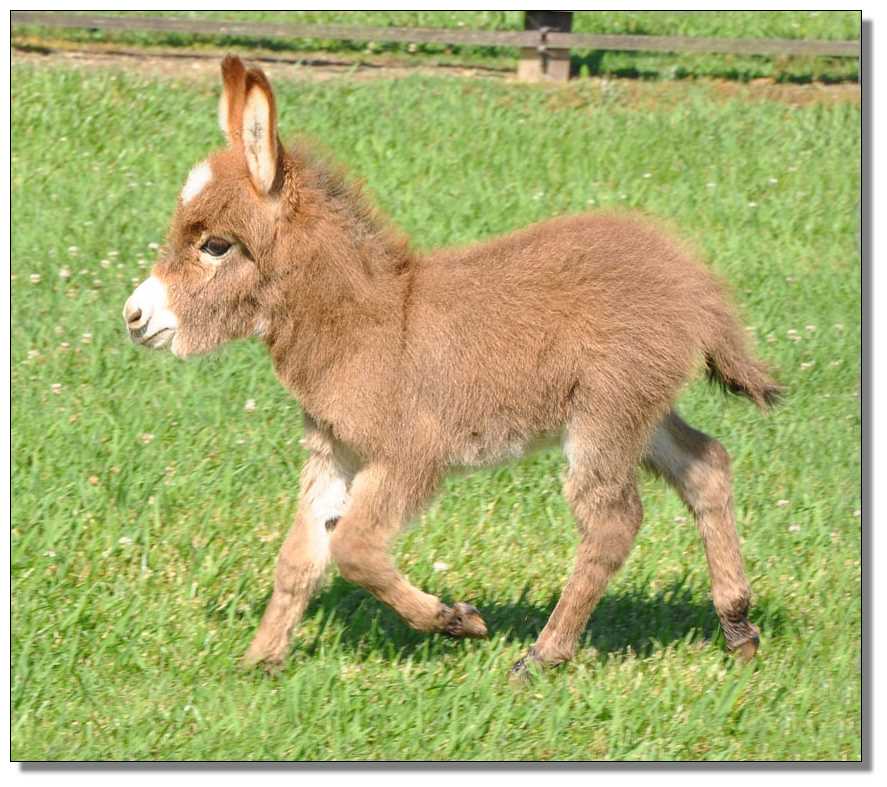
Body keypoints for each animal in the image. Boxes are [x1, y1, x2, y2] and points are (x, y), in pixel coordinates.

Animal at [123, 58, 776, 680]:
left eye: (215, 246)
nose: (133, 316)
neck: (369, 323)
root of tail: (695, 282)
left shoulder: (411, 454)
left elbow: (354, 549)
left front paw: (454, 620)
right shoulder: (335, 450)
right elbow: (298, 558)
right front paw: (261, 661)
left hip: (605, 412)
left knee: (612, 522)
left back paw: (543, 657)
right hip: (641, 408)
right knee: (706, 467)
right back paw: (738, 629)